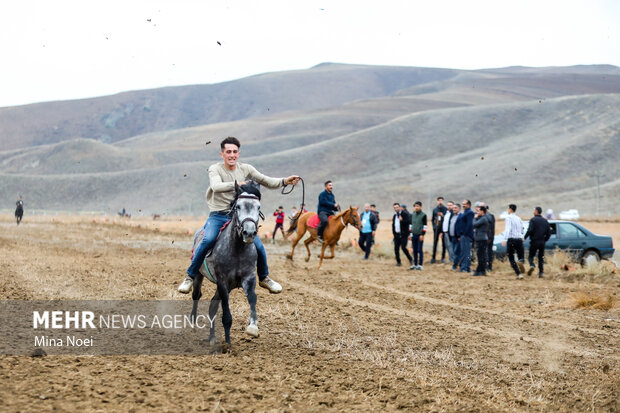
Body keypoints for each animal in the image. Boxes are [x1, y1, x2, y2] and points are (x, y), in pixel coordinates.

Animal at [191, 181, 264, 350]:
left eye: (258, 207)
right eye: (238, 206)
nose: (249, 233)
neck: (237, 249)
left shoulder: (248, 279)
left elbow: (252, 298)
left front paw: (253, 327)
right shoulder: (223, 281)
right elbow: (226, 316)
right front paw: (228, 344)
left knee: (212, 306)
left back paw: (211, 337)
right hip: (199, 276)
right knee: (196, 295)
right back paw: (193, 324)